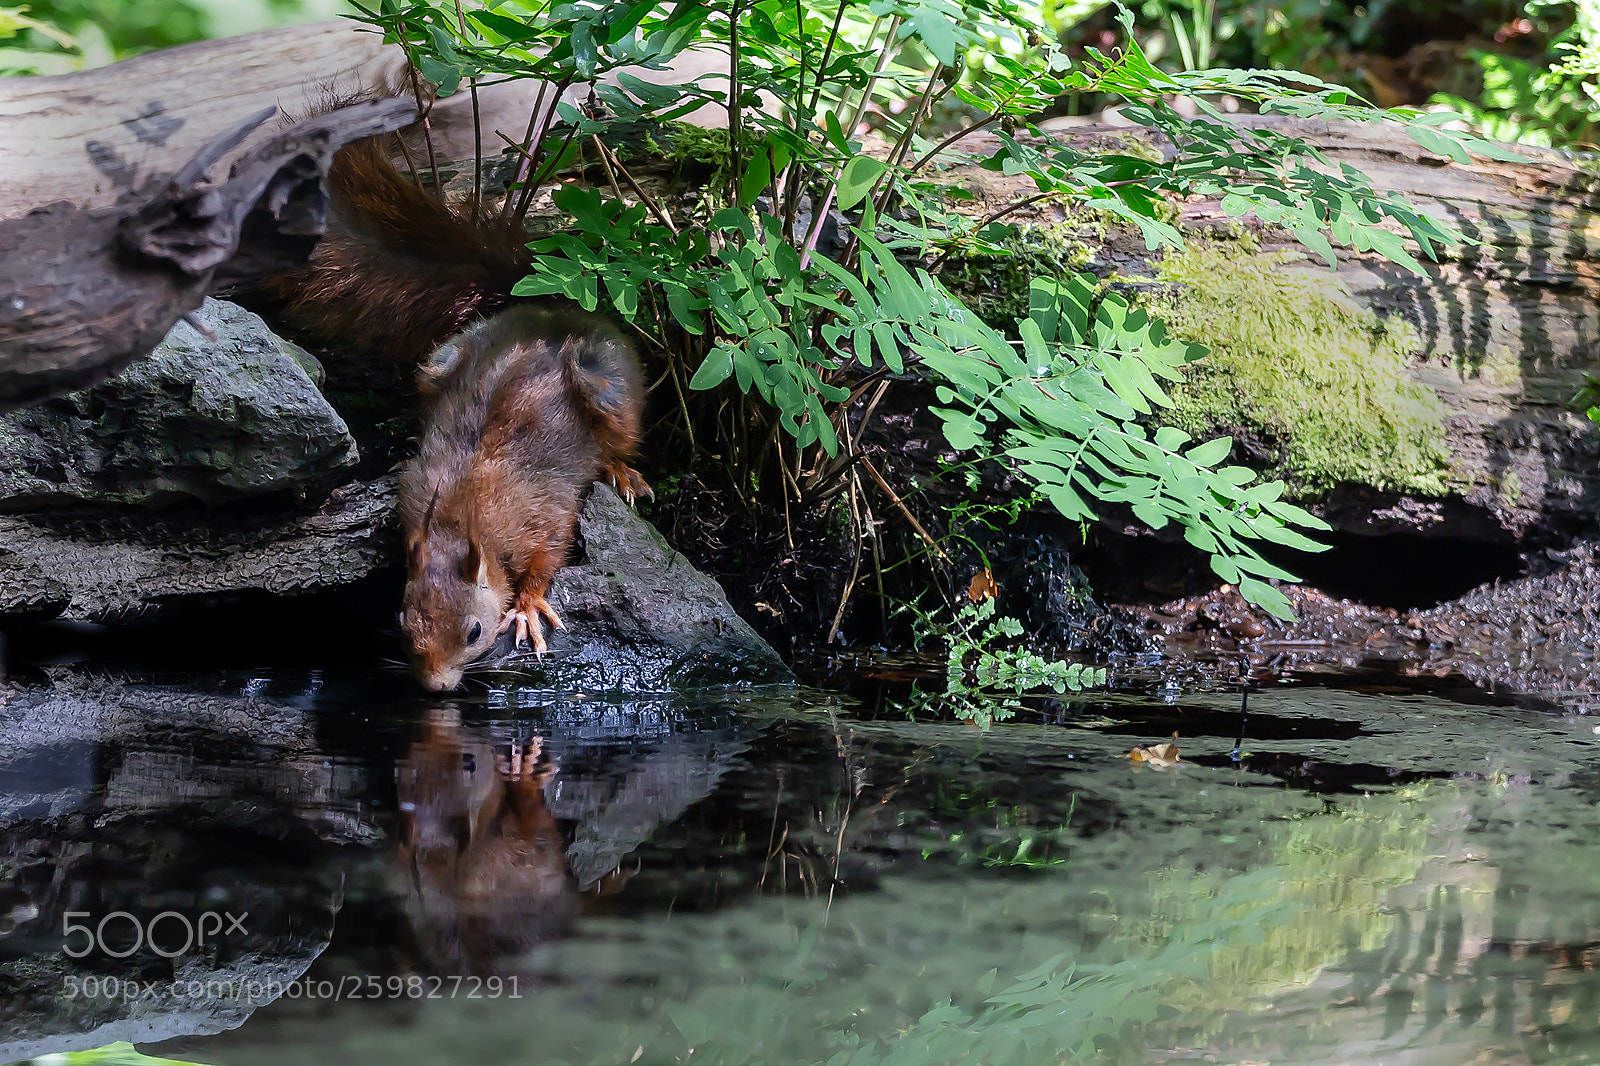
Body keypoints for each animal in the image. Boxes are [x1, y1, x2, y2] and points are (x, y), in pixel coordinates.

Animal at [264, 128, 650, 691]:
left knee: (617, 434)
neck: (457, 519)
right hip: (439, 363)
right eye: (403, 622)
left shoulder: (545, 516)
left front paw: (527, 608)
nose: (434, 687)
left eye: (474, 632)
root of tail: (548, 310)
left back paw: (622, 471)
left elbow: (547, 560)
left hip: (606, 384)